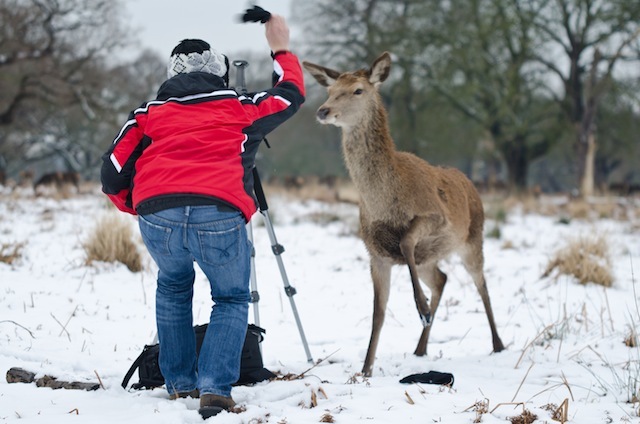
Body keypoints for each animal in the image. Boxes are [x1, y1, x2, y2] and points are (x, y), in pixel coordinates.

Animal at [302, 52, 505, 376]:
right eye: (330, 90)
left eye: (358, 90)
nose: (323, 110)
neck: (384, 202)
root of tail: (471, 183)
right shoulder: (375, 253)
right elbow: (378, 313)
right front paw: (365, 370)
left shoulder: (435, 217)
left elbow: (406, 240)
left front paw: (421, 307)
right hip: (429, 260)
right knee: (442, 278)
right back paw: (420, 348)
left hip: (473, 239)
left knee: (481, 282)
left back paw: (497, 343)